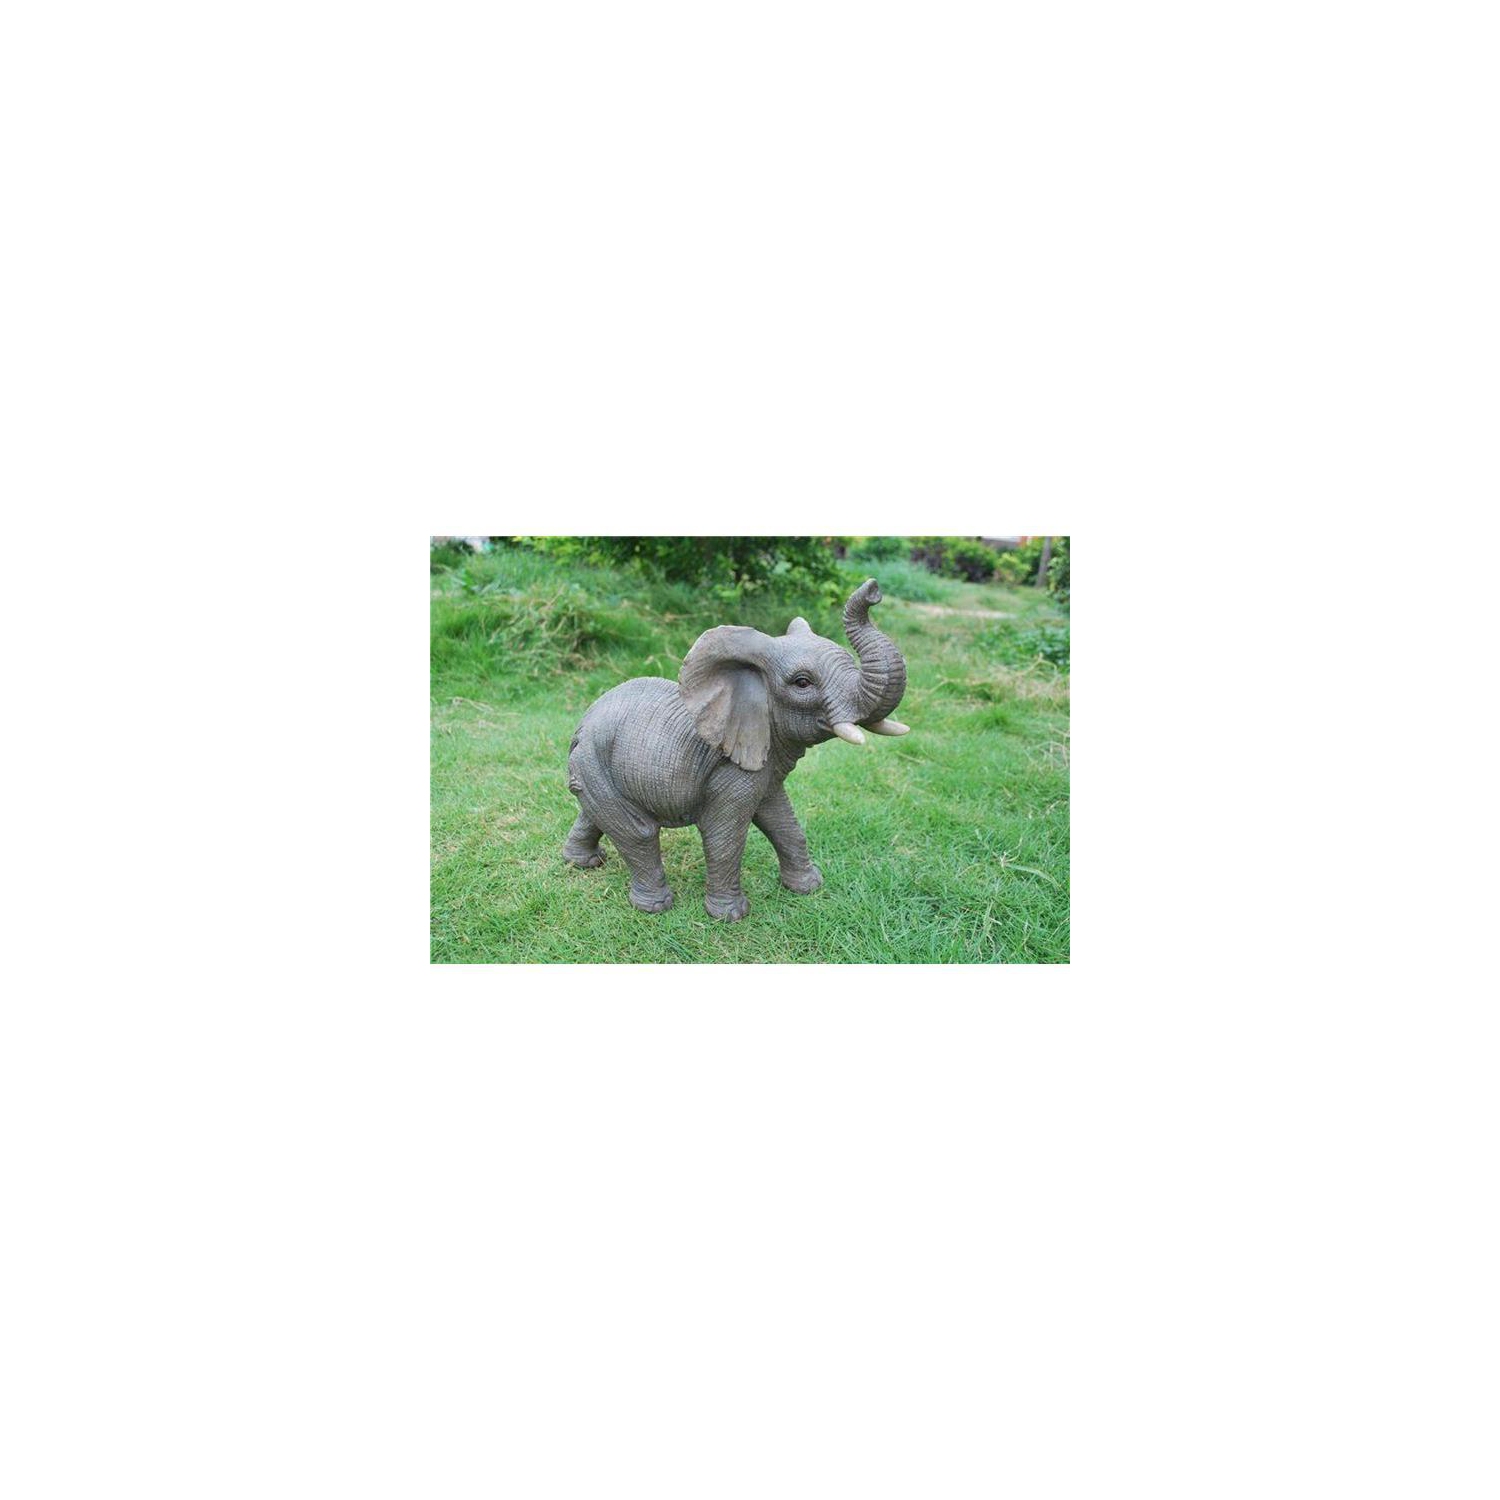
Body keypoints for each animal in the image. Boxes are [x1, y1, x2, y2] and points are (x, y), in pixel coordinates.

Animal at [562, 578, 911, 921]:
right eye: (802, 683)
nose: (873, 589)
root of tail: (581, 724)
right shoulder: (731, 767)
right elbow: (725, 834)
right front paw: (730, 916)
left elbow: (781, 818)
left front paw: (808, 888)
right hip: (593, 760)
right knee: (638, 831)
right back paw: (654, 907)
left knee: (595, 813)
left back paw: (583, 862)